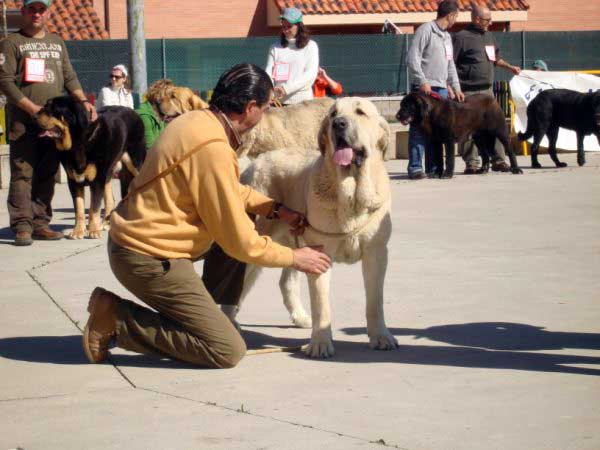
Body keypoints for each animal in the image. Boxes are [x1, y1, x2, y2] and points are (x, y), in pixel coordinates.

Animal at [37, 97, 146, 241]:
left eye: (53, 109)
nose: (35, 115)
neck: (78, 144)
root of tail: (133, 111)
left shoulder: (97, 181)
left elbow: (94, 208)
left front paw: (93, 231)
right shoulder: (75, 182)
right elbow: (79, 209)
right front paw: (78, 231)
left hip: (135, 164)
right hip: (108, 172)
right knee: (110, 200)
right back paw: (106, 223)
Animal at [396, 92, 524, 178]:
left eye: (407, 106)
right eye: (401, 105)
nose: (397, 116)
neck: (431, 114)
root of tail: (493, 99)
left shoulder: (449, 140)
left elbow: (449, 159)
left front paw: (447, 174)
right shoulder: (436, 142)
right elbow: (438, 159)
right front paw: (437, 173)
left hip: (500, 131)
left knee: (510, 150)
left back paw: (516, 169)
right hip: (478, 137)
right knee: (485, 154)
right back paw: (483, 169)